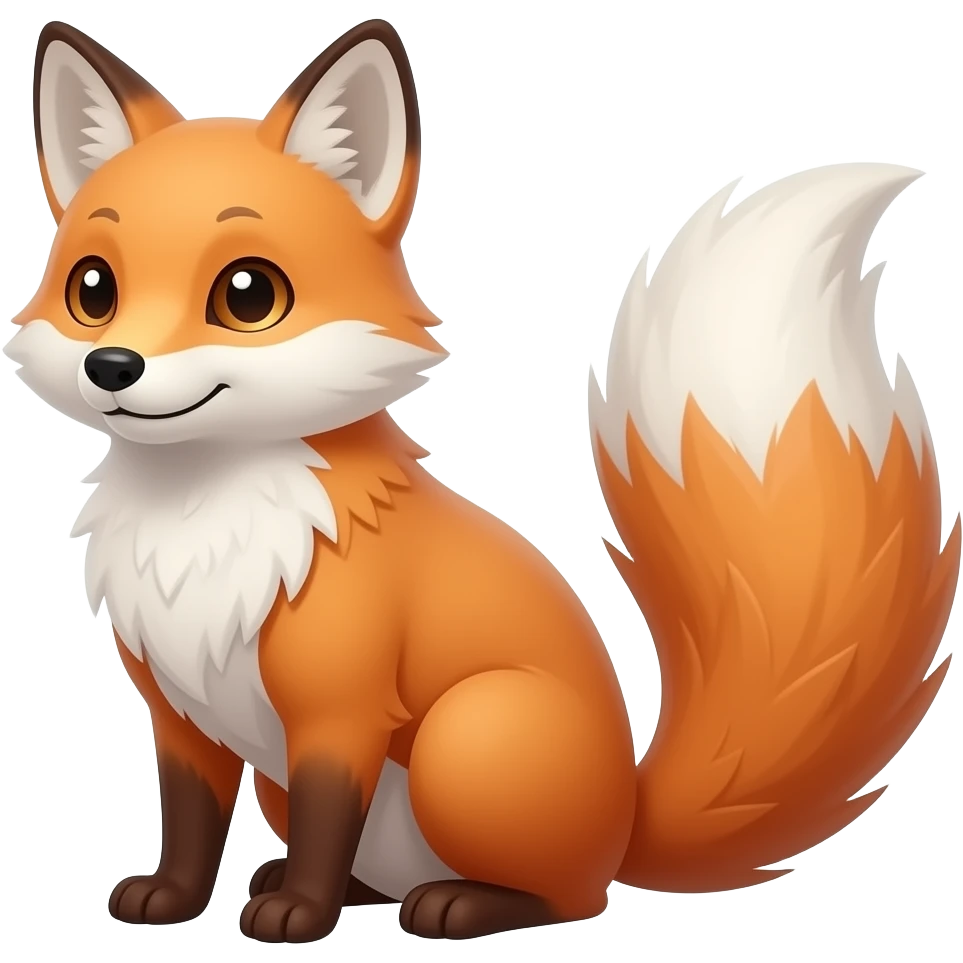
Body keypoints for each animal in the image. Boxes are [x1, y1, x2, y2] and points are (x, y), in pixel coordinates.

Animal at [5, 17, 958, 945]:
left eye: (247, 294)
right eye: (93, 288)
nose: (112, 366)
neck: (200, 525)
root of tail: (627, 813)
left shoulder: (339, 710)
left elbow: (325, 816)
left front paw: (298, 916)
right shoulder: (179, 711)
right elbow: (192, 820)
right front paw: (175, 898)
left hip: (465, 736)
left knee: (572, 897)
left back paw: (457, 906)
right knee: (405, 874)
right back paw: (351, 889)